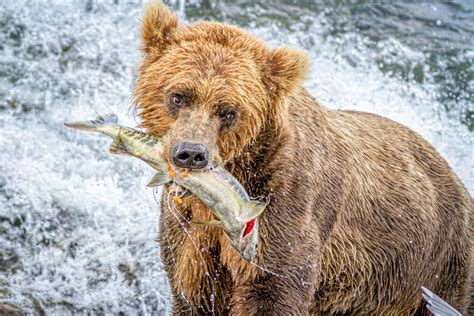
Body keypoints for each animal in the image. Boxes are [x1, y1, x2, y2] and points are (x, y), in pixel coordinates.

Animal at [132, 1, 470, 314]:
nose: (191, 153)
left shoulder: (283, 206)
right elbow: (194, 292)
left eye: (228, 111)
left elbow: (272, 288)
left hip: (436, 263)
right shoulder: (190, 239)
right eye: (178, 96)